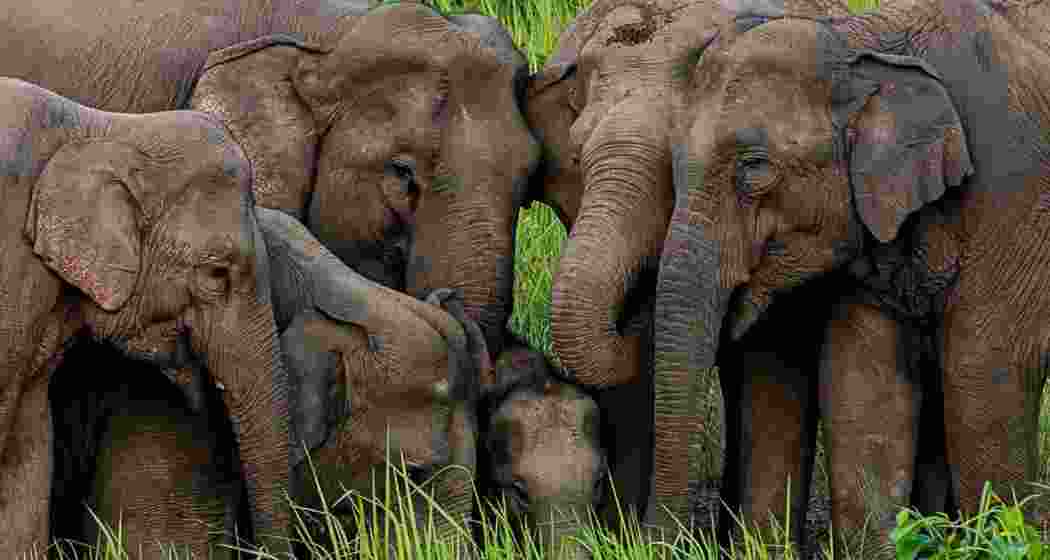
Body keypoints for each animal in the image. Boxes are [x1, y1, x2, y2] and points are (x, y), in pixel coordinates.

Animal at [651, 0, 1050, 554]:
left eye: (754, 169)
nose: (654, 543)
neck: (865, 43)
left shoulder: (1012, 196)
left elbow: (984, 372)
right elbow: (864, 384)